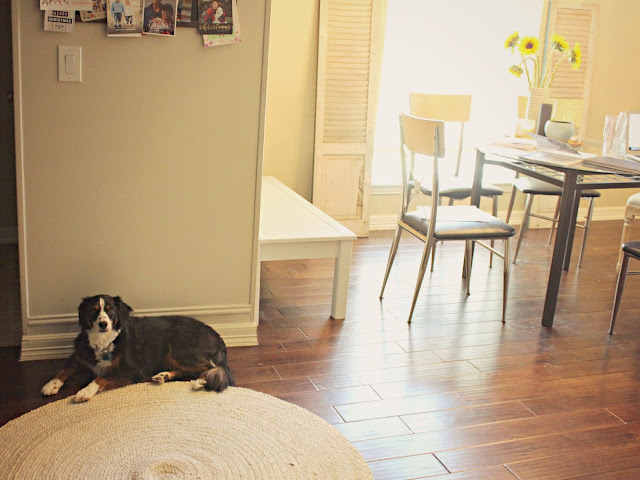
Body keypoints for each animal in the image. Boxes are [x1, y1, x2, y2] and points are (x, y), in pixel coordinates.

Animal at [41, 294, 234, 403]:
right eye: (94, 310)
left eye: (110, 311)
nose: (103, 324)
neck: (104, 340)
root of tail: (218, 337)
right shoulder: (80, 352)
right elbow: (65, 368)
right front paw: (51, 384)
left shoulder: (131, 371)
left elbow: (100, 378)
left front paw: (85, 391)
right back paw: (163, 375)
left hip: (178, 348)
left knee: (210, 367)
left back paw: (201, 381)